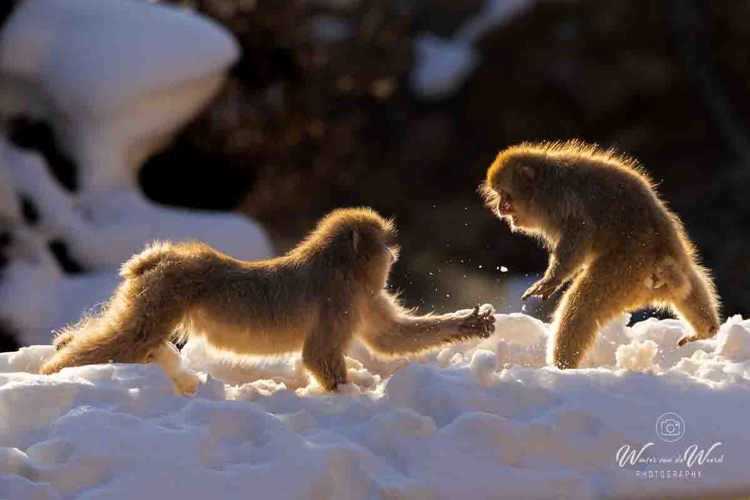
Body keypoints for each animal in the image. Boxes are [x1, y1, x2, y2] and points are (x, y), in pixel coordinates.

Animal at [40, 208, 496, 393]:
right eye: (383, 242)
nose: (393, 254)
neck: (338, 264)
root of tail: (165, 257)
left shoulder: (362, 297)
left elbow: (389, 338)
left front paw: (470, 324)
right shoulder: (342, 297)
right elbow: (318, 356)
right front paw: (349, 396)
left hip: (154, 292)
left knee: (128, 335)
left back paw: (64, 346)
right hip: (165, 294)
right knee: (131, 338)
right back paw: (53, 371)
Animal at [480, 140, 720, 369]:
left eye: (506, 196)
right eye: (499, 196)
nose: (501, 209)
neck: (545, 180)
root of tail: (660, 259)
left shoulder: (559, 199)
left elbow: (580, 231)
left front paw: (552, 279)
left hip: (625, 271)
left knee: (582, 305)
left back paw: (561, 366)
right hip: (661, 272)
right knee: (693, 283)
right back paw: (706, 329)